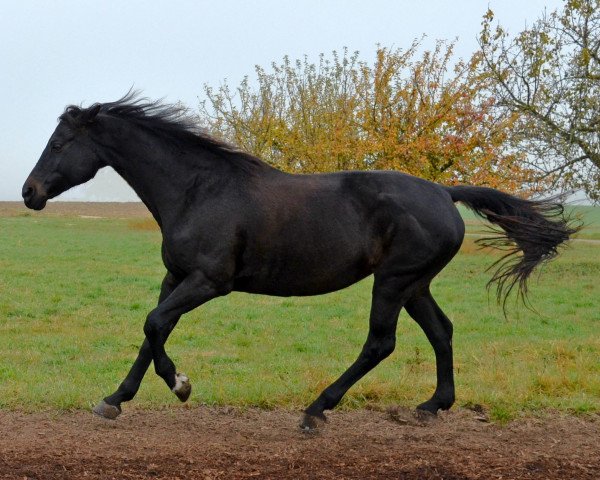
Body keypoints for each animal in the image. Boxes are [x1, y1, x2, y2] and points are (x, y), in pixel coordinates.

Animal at [22, 93, 576, 428]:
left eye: (59, 142)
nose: (29, 193)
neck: (199, 190)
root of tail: (445, 191)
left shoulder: (209, 281)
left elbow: (155, 324)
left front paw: (179, 385)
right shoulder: (175, 277)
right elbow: (153, 329)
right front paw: (116, 399)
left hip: (393, 282)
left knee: (381, 343)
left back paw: (316, 411)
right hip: (415, 284)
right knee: (442, 331)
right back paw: (432, 405)